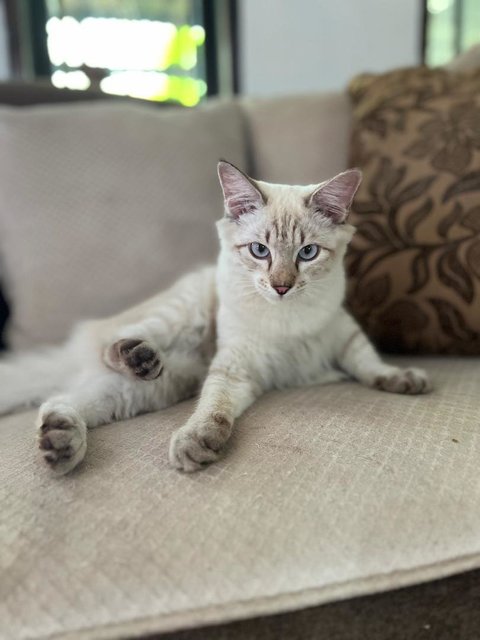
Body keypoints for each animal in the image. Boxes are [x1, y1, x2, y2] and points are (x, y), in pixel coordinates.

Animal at [0, 161, 432, 476]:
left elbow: (369, 364)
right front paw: (197, 445)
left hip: (155, 388)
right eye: (259, 250)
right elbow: (215, 409)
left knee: (62, 400)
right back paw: (138, 359)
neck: (286, 319)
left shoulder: (341, 334)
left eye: (307, 253)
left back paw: (60, 442)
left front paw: (403, 380)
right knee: (116, 345)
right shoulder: (236, 367)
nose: (281, 287)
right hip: (176, 319)